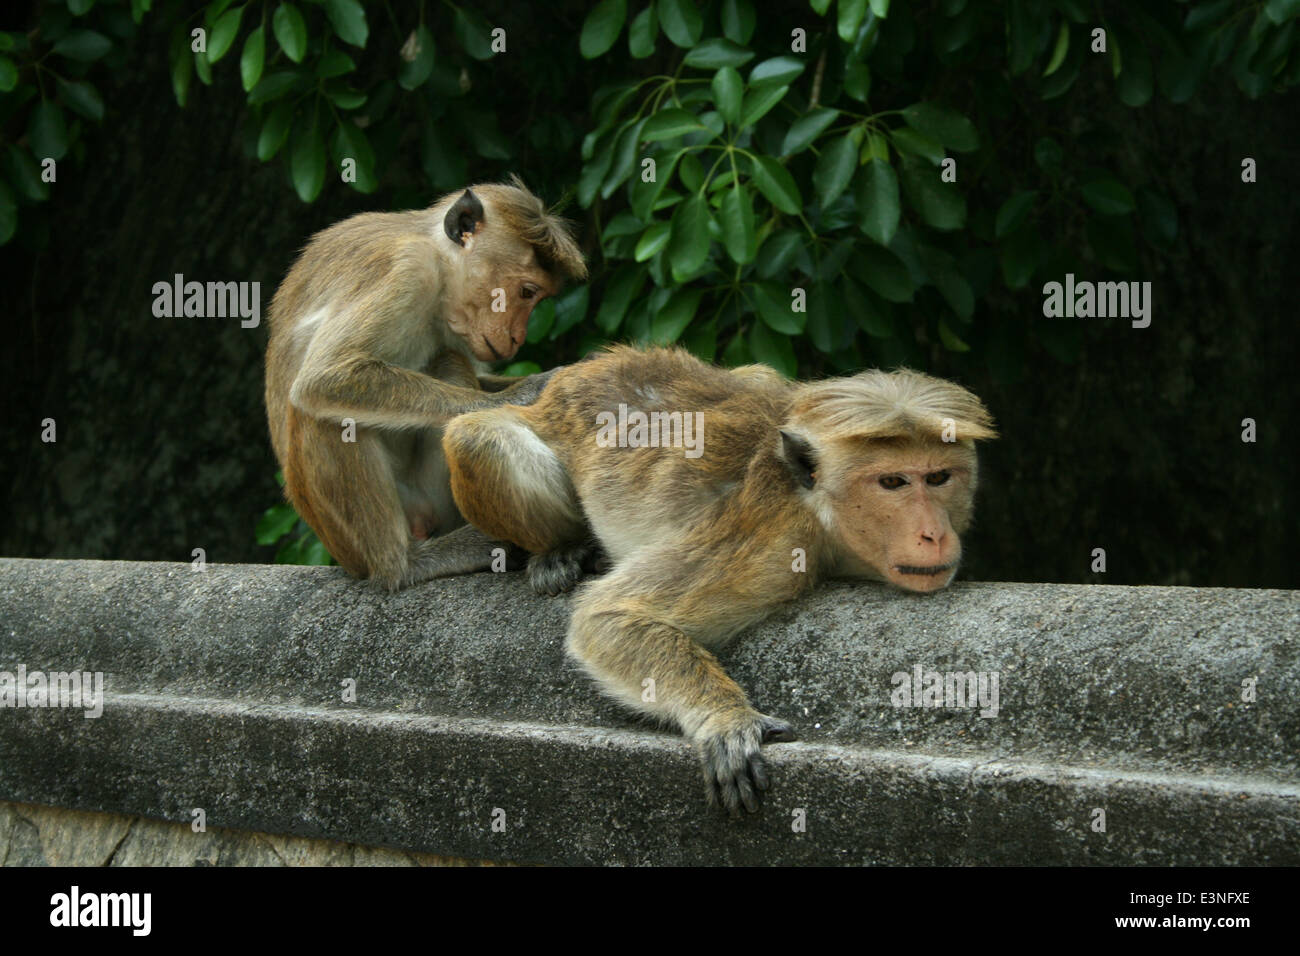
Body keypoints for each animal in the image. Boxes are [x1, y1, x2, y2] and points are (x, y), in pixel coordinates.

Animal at [263, 175, 585, 587]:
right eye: (527, 291)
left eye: (536, 297)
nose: (518, 337)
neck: (437, 263)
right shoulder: (406, 271)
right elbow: (325, 376)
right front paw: (525, 392)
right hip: (350, 539)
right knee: (323, 415)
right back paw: (404, 563)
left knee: (447, 359)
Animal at [441, 348, 998, 811]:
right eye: (892, 482)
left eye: (939, 477)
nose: (933, 534)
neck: (816, 508)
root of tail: (566, 381)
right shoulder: (768, 544)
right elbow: (608, 616)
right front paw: (727, 719)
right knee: (477, 437)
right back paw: (560, 551)